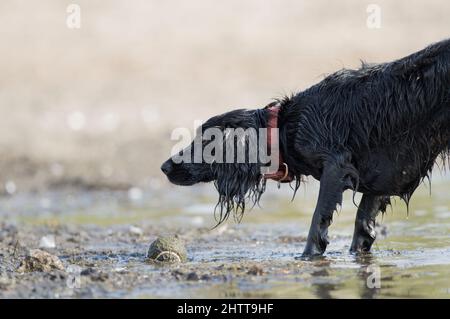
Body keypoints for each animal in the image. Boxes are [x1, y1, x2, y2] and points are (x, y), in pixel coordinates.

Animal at [162, 39, 450, 258]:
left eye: (204, 141)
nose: (164, 167)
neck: (285, 126)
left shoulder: (336, 166)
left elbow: (318, 218)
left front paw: (308, 256)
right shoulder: (384, 174)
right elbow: (362, 221)